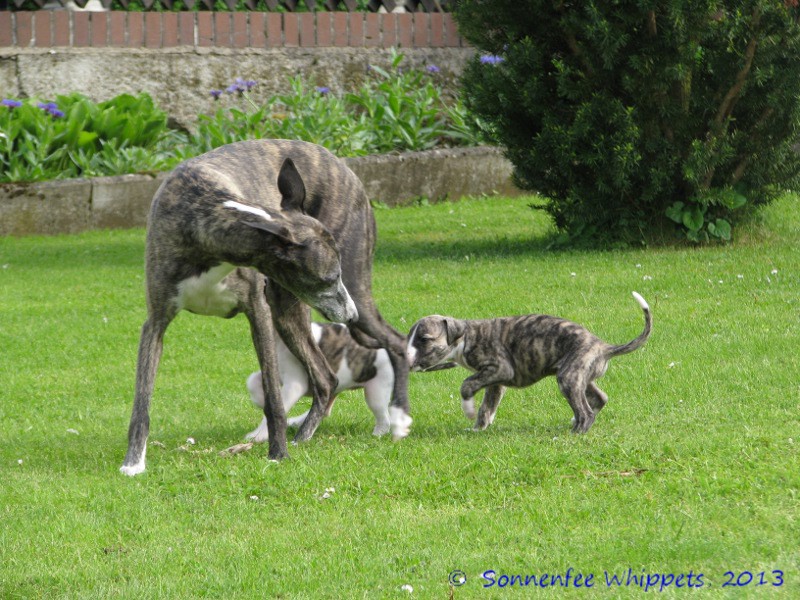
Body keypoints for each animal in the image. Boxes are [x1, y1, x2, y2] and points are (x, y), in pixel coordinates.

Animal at [245, 322, 394, 441]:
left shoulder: (294, 385)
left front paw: (258, 436)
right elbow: (252, 381)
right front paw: (261, 400)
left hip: (376, 391)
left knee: (384, 418)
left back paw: (377, 435)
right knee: (324, 410)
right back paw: (295, 422)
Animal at [406, 292, 652, 434]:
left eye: (424, 339)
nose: (406, 361)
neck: (466, 336)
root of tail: (603, 346)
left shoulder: (499, 368)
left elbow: (466, 385)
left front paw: (468, 409)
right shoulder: (495, 381)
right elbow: (487, 406)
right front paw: (478, 429)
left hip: (568, 378)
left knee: (586, 412)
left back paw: (575, 433)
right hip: (580, 375)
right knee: (599, 399)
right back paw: (574, 422)